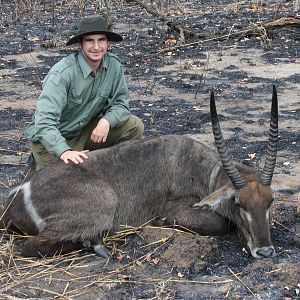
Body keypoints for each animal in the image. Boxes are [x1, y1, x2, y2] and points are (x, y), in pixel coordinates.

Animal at [0, 85, 300, 258]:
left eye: (271, 201)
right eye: (237, 203)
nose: (265, 251)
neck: (202, 169)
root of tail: (16, 195)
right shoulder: (178, 209)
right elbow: (220, 224)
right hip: (105, 203)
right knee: (29, 247)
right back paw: (94, 244)